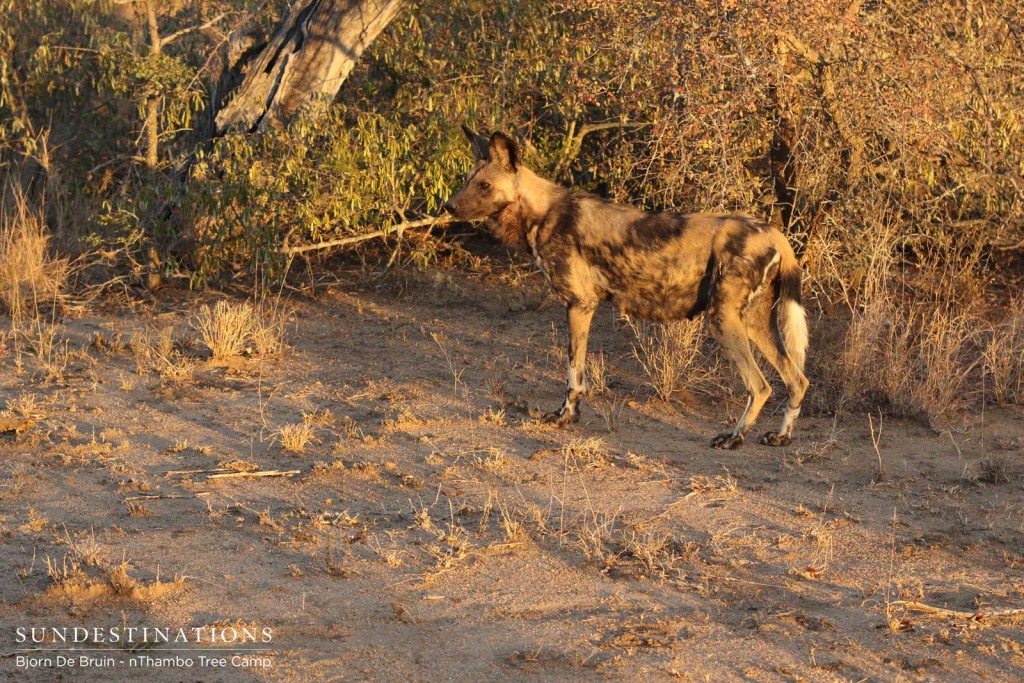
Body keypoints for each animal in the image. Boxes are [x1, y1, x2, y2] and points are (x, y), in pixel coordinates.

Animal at [446, 126, 806, 448]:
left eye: (485, 185)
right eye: (467, 181)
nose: (448, 207)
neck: (542, 212)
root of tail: (774, 233)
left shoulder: (580, 303)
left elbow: (573, 372)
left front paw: (565, 417)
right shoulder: (581, 305)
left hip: (722, 319)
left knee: (761, 386)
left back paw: (733, 438)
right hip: (755, 322)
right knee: (796, 379)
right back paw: (782, 436)